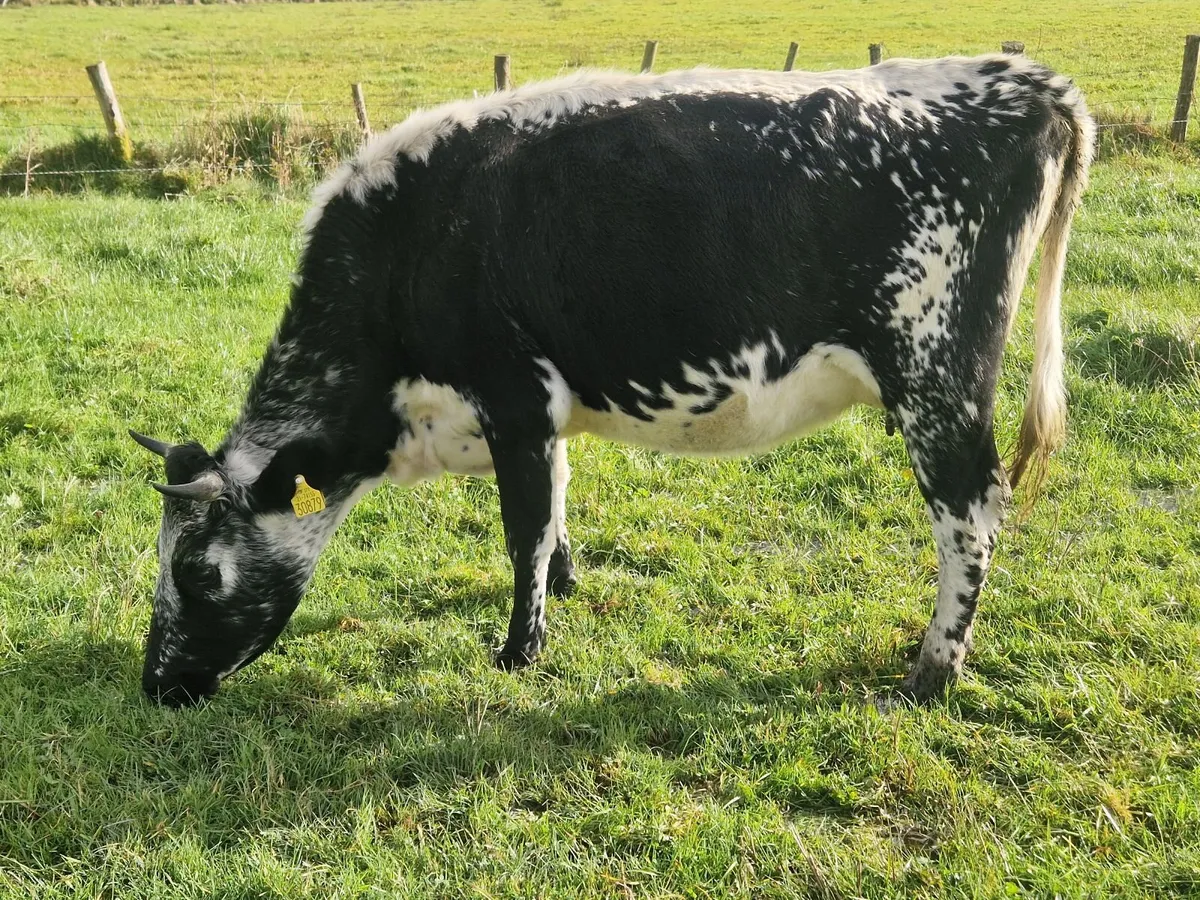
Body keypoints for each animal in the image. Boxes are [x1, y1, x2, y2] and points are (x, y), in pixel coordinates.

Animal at [130, 54, 1093, 708]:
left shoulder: (512, 397)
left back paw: (931, 669)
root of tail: (1018, 77)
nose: (156, 684)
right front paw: (565, 589)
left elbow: (522, 528)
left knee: (970, 514)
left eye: (198, 571)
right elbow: (556, 506)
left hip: (938, 378)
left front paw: (519, 651)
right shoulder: (543, 411)